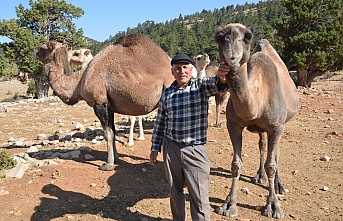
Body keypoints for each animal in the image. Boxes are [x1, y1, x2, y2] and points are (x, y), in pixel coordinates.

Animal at [34, 33, 175, 171]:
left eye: (44, 47)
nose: (33, 50)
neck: (79, 81)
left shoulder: (100, 102)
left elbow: (108, 134)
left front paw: (108, 164)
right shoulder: (110, 106)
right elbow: (113, 131)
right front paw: (116, 158)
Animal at [215, 23, 298, 219]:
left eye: (247, 37)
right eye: (219, 37)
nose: (232, 54)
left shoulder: (276, 126)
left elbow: (271, 165)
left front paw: (273, 207)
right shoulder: (233, 125)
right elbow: (236, 165)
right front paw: (228, 205)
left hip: (282, 124)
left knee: (276, 153)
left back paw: (279, 186)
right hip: (262, 129)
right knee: (262, 144)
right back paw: (259, 176)